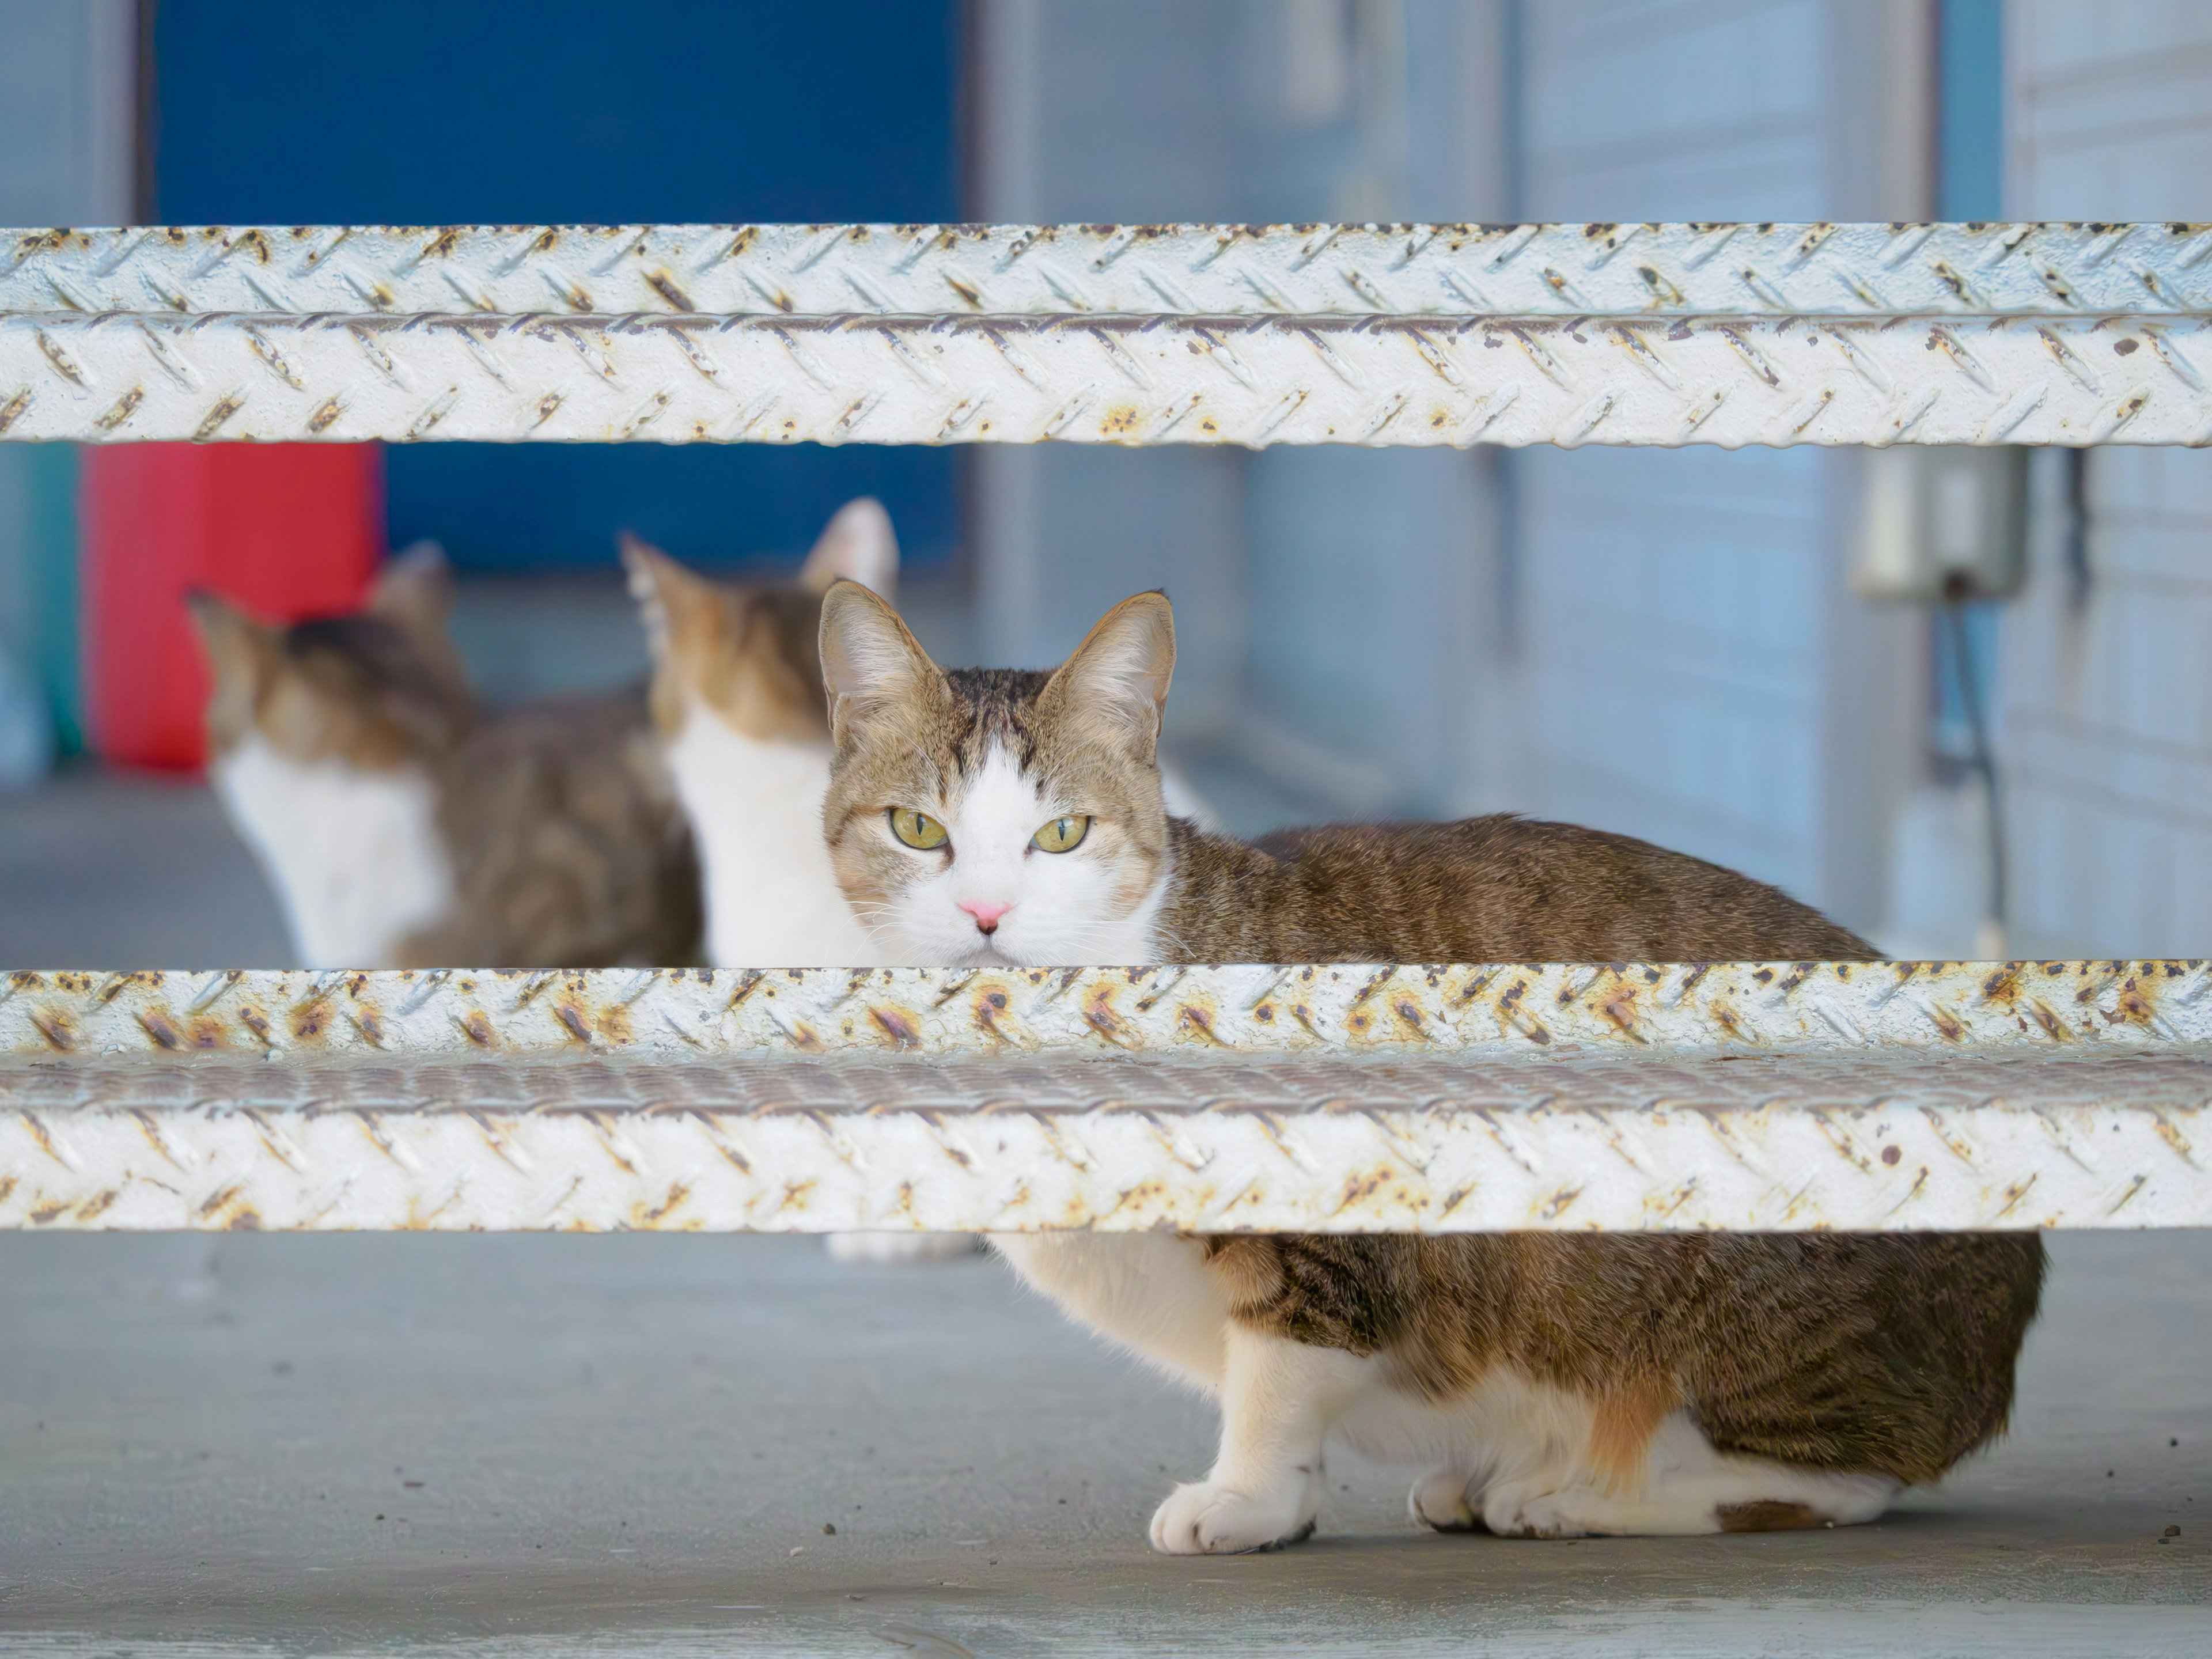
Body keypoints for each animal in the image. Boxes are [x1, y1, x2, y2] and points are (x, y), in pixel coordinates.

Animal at [823, 579, 2044, 1557]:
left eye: (1062, 835)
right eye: (917, 830)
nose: (986, 915)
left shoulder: (1324, 1233)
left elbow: (1279, 1375)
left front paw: (1249, 1499)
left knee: (1840, 1478)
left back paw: (1582, 1491)